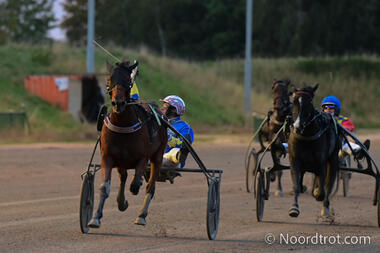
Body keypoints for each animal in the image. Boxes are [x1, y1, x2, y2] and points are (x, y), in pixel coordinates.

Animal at [88, 60, 168, 227]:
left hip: (157, 156)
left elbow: (136, 184)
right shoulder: (108, 157)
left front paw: (136, 188)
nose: (118, 103)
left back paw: (141, 215)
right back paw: (121, 202)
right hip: (121, 161)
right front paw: (96, 217)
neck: (123, 124)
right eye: (109, 79)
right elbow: (104, 187)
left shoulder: (143, 157)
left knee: (150, 186)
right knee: (123, 176)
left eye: (128, 81)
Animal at [288, 83, 338, 217]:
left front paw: (317, 193)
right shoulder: (295, 160)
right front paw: (294, 208)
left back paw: (325, 208)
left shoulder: (321, 162)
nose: (297, 126)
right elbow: (296, 186)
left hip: (333, 159)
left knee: (328, 184)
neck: (306, 137)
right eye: (294, 101)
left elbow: (322, 191)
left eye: (309, 102)